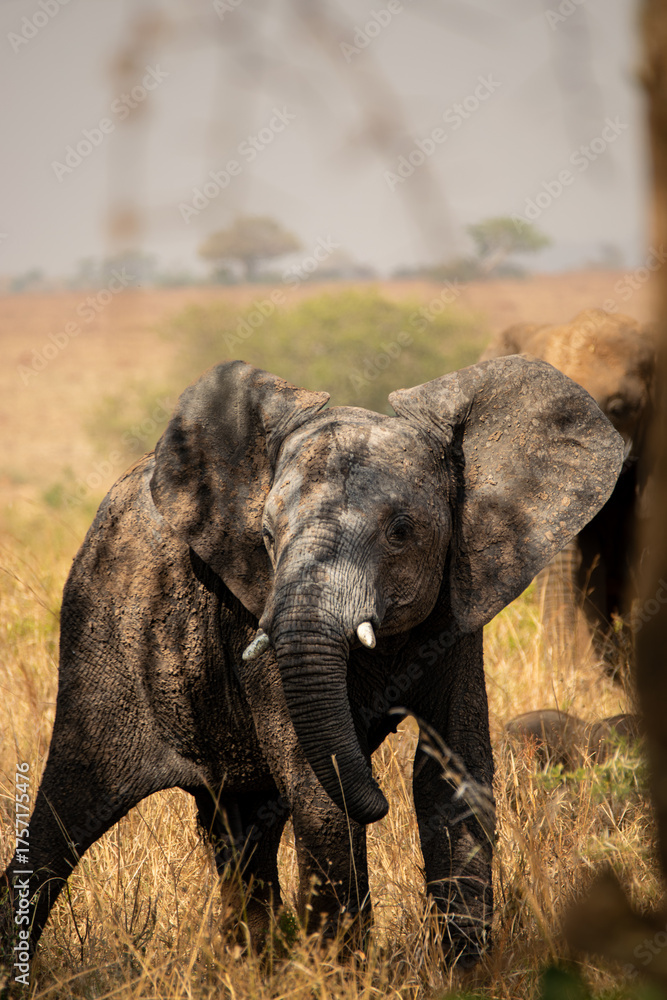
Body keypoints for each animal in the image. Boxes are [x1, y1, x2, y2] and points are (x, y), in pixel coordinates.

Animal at [0, 357, 623, 969]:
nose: (379, 800)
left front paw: (465, 973)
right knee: (67, 814)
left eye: (400, 532)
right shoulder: (255, 615)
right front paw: (340, 971)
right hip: (103, 633)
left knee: (240, 828)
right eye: (266, 535)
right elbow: (316, 786)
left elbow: (453, 773)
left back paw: (254, 966)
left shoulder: (460, 605)